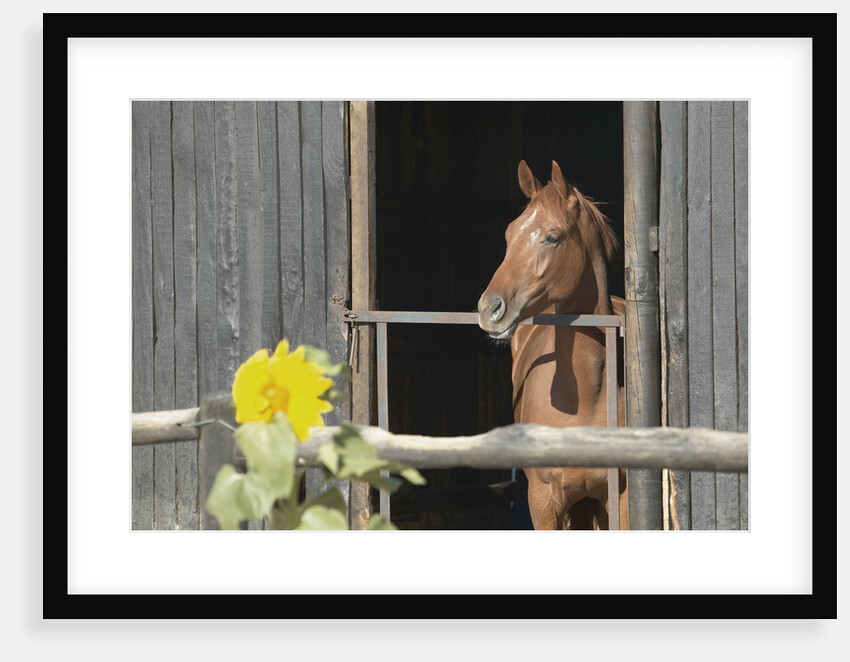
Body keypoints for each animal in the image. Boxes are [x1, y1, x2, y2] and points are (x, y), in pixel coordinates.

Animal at [477, 159, 627, 530]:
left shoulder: (619, 495)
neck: (585, 397)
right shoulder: (543, 500)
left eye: (553, 237)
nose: (489, 309)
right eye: (509, 235)